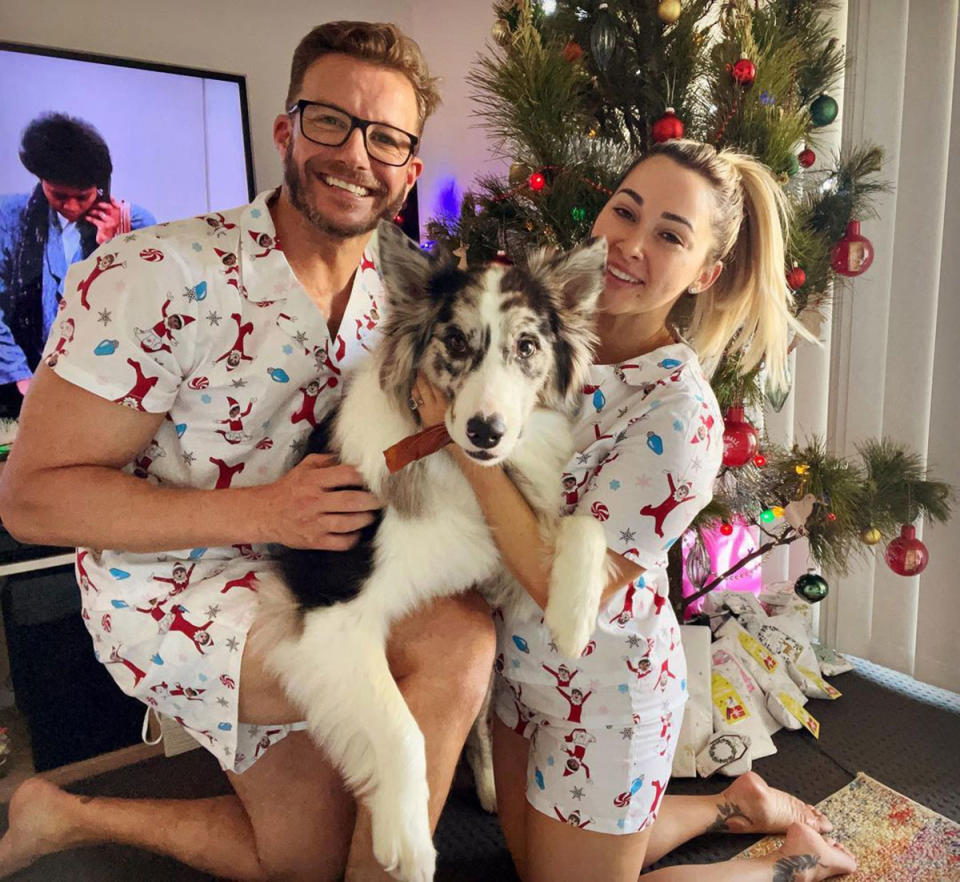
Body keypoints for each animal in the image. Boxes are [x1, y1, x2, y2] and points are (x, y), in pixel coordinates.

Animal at [253, 222, 608, 880]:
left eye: (527, 346)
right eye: (455, 340)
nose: (485, 432)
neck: (449, 461)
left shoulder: (504, 569)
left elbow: (584, 524)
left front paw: (573, 618)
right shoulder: (330, 617)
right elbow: (402, 729)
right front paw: (409, 841)